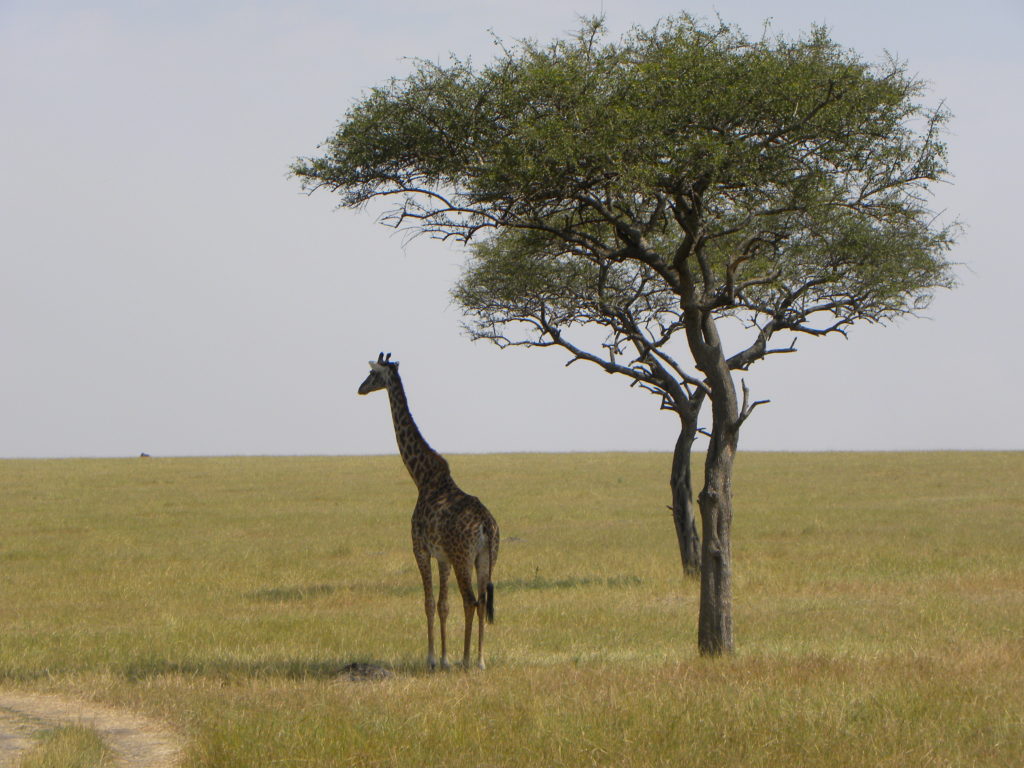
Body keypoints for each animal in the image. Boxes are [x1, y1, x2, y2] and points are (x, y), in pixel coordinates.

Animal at [360, 352, 499, 671]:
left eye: (372, 375)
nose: (360, 389)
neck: (421, 477)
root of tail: (487, 525)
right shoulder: (443, 557)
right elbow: (442, 604)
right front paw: (445, 658)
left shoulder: (420, 549)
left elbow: (427, 603)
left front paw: (433, 659)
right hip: (487, 558)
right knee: (482, 601)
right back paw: (480, 660)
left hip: (464, 558)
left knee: (471, 600)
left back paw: (466, 660)